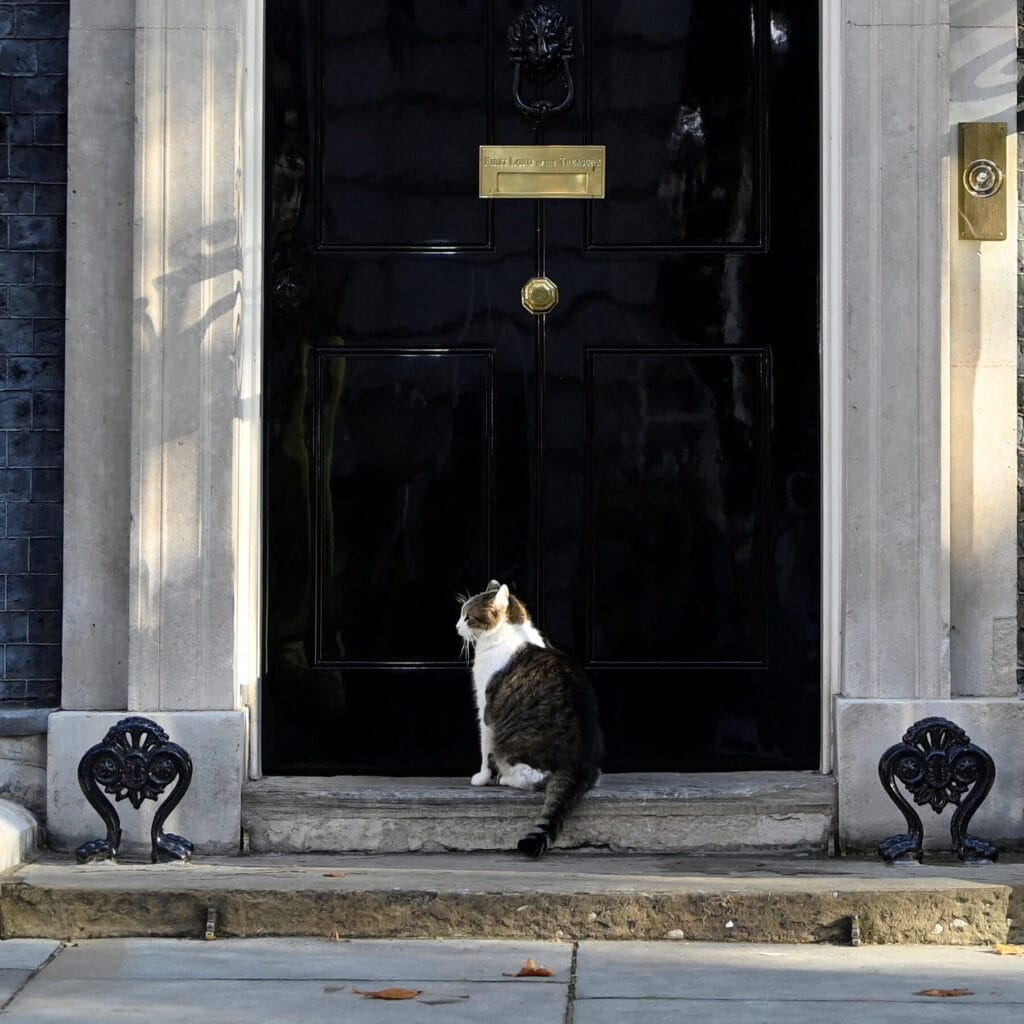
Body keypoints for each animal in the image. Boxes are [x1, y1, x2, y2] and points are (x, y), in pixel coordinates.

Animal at [454, 581, 598, 860]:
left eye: (467, 617)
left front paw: (482, 777)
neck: (511, 632)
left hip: (514, 747)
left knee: (534, 778)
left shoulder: (485, 710)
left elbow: (484, 748)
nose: (455, 626)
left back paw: (506, 778)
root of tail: (578, 761)